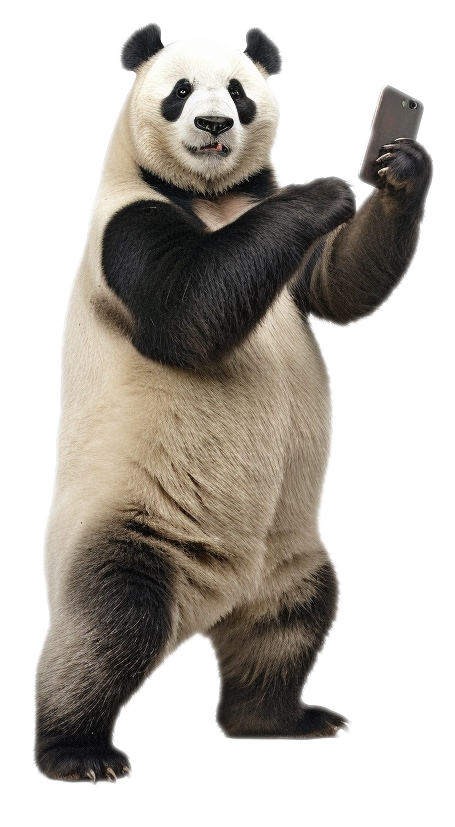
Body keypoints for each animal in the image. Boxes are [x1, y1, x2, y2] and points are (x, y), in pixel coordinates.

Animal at [33, 23, 433, 783]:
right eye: (181, 91)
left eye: (240, 92)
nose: (214, 124)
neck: (213, 198)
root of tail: (213, 600)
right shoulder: (125, 226)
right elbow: (185, 308)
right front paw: (319, 194)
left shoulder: (277, 249)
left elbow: (339, 285)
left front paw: (399, 163)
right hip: (135, 522)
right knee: (111, 622)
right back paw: (79, 751)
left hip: (290, 552)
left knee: (294, 621)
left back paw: (282, 718)